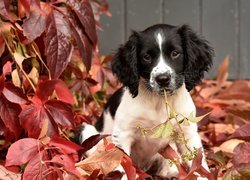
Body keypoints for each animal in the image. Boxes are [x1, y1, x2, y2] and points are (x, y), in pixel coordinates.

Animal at [79, 23, 214, 179]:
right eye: (146, 57)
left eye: (175, 53)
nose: (162, 79)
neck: (159, 100)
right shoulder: (123, 133)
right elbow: (123, 162)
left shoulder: (187, 132)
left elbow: (199, 162)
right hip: (88, 132)